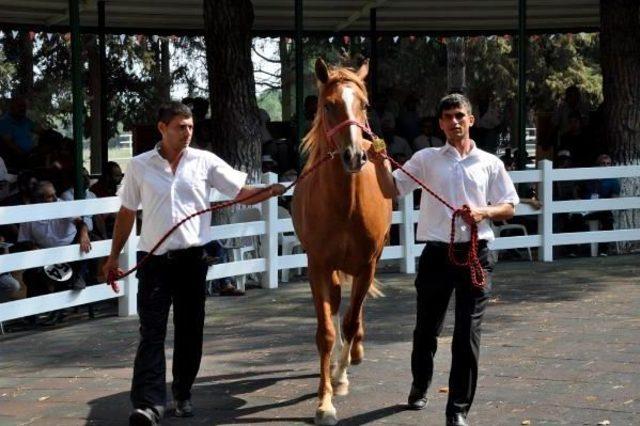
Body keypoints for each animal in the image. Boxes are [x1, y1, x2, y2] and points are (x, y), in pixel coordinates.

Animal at [292, 58, 392, 424]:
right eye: (329, 105)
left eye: (364, 104)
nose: (354, 156)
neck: (347, 203)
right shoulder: (318, 266)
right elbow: (326, 331)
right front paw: (325, 402)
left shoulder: (367, 264)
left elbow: (350, 321)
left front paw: (341, 376)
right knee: (336, 304)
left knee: (353, 314)